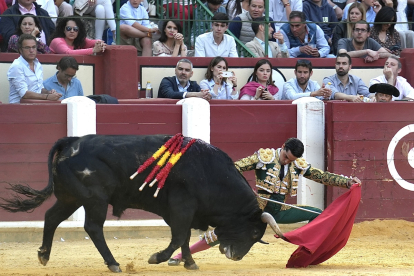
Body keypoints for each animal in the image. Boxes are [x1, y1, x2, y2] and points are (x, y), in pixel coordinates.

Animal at [0, 135, 282, 272]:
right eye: (254, 233)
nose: (236, 257)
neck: (210, 173)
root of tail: (71, 141)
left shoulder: (184, 212)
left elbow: (184, 237)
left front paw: (190, 263)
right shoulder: (181, 208)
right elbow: (178, 237)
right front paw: (156, 258)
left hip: (71, 198)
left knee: (51, 217)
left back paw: (44, 255)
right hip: (94, 200)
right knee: (93, 228)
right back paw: (113, 263)